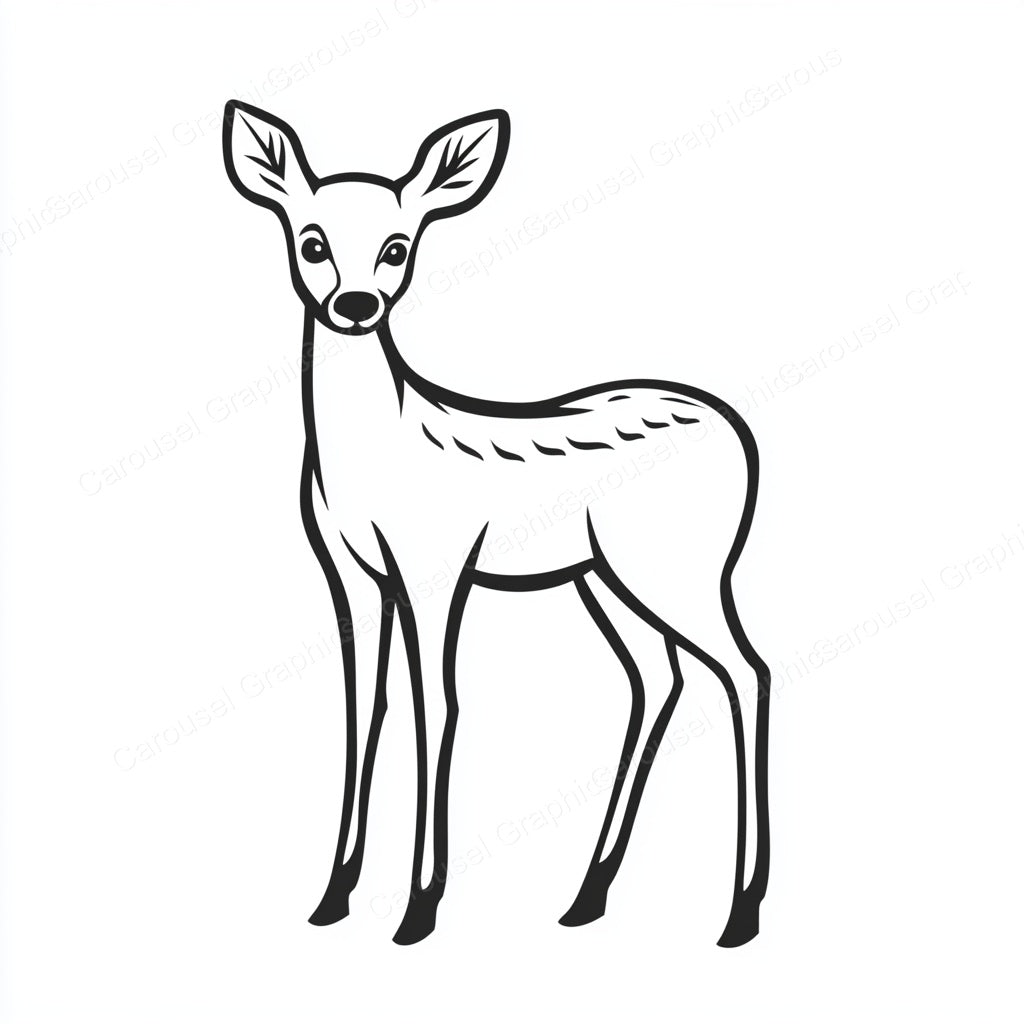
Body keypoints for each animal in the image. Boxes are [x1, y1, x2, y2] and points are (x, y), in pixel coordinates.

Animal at [222, 100, 771, 947]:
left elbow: (438, 703)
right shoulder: (347, 569)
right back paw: (585, 897)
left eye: (398, 246)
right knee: (659, 679)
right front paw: (331, 897)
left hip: (678, 567)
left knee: (746, 671)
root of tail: (741, 436)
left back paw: (739, 912)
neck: (374, 453)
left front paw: (417, 910)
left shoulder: (437, 560)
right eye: (311, 241)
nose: (355, 305)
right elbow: (363, 705)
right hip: (603, 578)